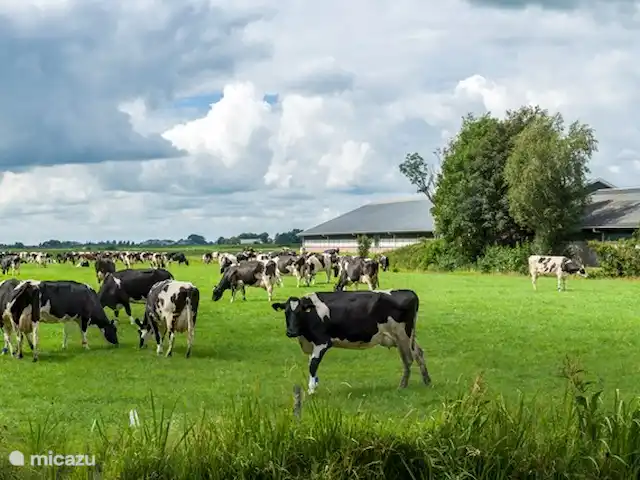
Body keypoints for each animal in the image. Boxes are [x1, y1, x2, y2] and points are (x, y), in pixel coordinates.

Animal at [271, 289, 431, 394]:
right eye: (286, 312)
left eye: (299, 312)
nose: (291, 332)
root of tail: (409, 292)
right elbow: (312, 365)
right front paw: (314, 385)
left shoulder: (322, 342)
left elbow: (313, 365)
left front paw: (311, 391)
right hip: (407, 337)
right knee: (418, 353)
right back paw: (427, 381)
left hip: (402, 335)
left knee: (408, 359)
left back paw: (403, 385)